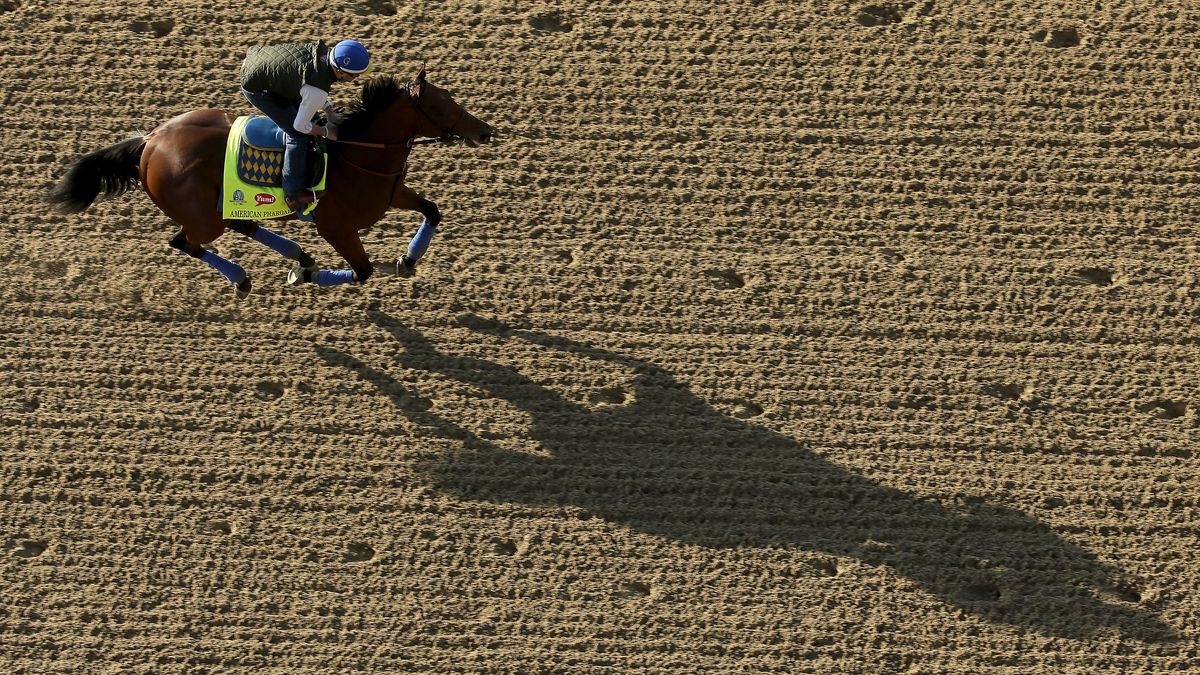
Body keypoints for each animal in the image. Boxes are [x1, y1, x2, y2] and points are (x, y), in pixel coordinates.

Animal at [48, 67, 492, 296]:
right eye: (441, 106)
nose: (485, 131)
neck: (358, 153)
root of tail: (150, 141)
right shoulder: (336, 227)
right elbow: (364, 271)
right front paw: (306, 277)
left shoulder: (392, 192)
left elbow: (432, 210)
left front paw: (407, 260)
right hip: (201, 215)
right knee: (184, 240)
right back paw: (247, 276)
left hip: (218, 205)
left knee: (241, 225)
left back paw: (297, 254)